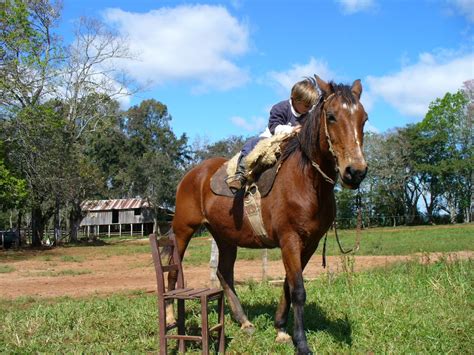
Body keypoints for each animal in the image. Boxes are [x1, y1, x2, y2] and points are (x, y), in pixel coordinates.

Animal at [168, 76, 368, 355]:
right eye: (331, 116)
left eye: (364, 118)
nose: (355, 171)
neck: (306, 180)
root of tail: (191, 175)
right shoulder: (289, 240)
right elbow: (298, 290)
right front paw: (301, 342)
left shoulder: (308, 244)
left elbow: (288, 284)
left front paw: (281, 329)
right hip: (182, 230)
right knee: (173, 272)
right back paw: (169, 318)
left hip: (225, 237)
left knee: (224, 273)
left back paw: (244, 321)